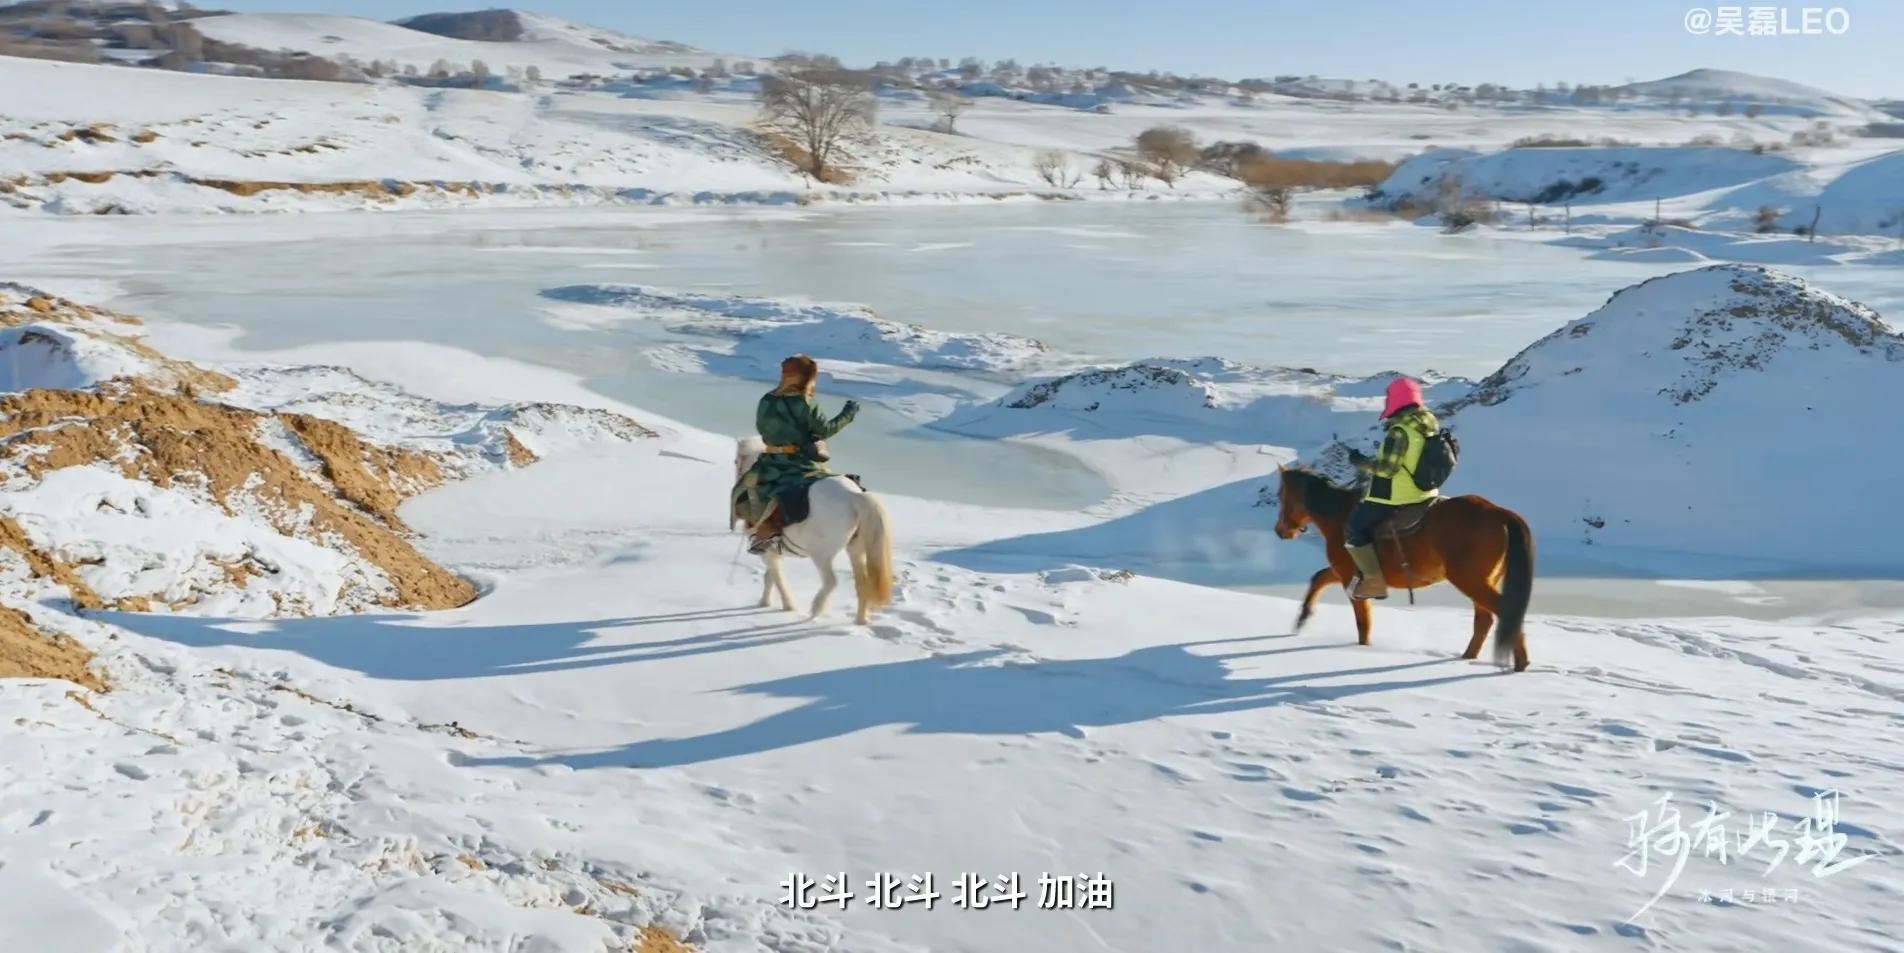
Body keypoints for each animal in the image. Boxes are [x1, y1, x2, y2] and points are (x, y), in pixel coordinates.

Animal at [734, 435, 898, 623]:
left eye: (736, 460)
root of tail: (853, 495)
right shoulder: (773, 550)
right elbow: (771, 576)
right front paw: (766, 603)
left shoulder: (766, 550)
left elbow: (776, 576)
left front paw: (784, 605)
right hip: (855, 550)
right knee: (862, 583)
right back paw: (860, 621)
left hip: (821, 555)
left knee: (831, 581)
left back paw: (816, 608)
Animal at [1271, 466, 1538, 669]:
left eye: (1281, 494)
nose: (1280, 530)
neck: (1340, 517)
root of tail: (1499, 512)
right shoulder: (1345, 573)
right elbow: (1319, 578)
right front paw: (1302, 618)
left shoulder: (1349, 576)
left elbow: (1362, 621)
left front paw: (1363, 647)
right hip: (1482, 580)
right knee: (1485, 620)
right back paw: (1468, 658)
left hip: (1470, 579)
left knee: (1502, 613)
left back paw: (1518, 662)